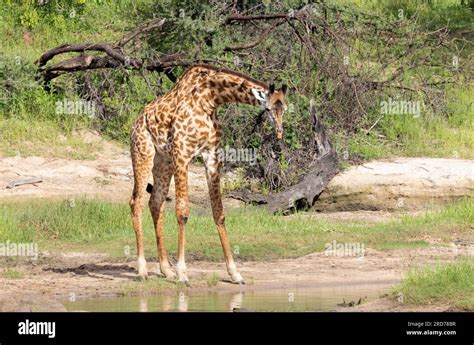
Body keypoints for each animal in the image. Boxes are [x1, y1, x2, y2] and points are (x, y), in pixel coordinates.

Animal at [128, 63, 286, 284]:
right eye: (269, 109)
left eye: (285, 108)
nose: (279, 133)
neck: (210, 100)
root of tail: (135, 122)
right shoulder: (182, 153)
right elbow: (183, 212)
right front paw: (183, 273)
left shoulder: (211, 155)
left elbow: (219, 212)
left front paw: (235, 273)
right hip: (143, 153)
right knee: (136, 202)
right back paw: (142, 270)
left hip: (163, 161)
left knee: (156, 202)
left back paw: (166, 270)